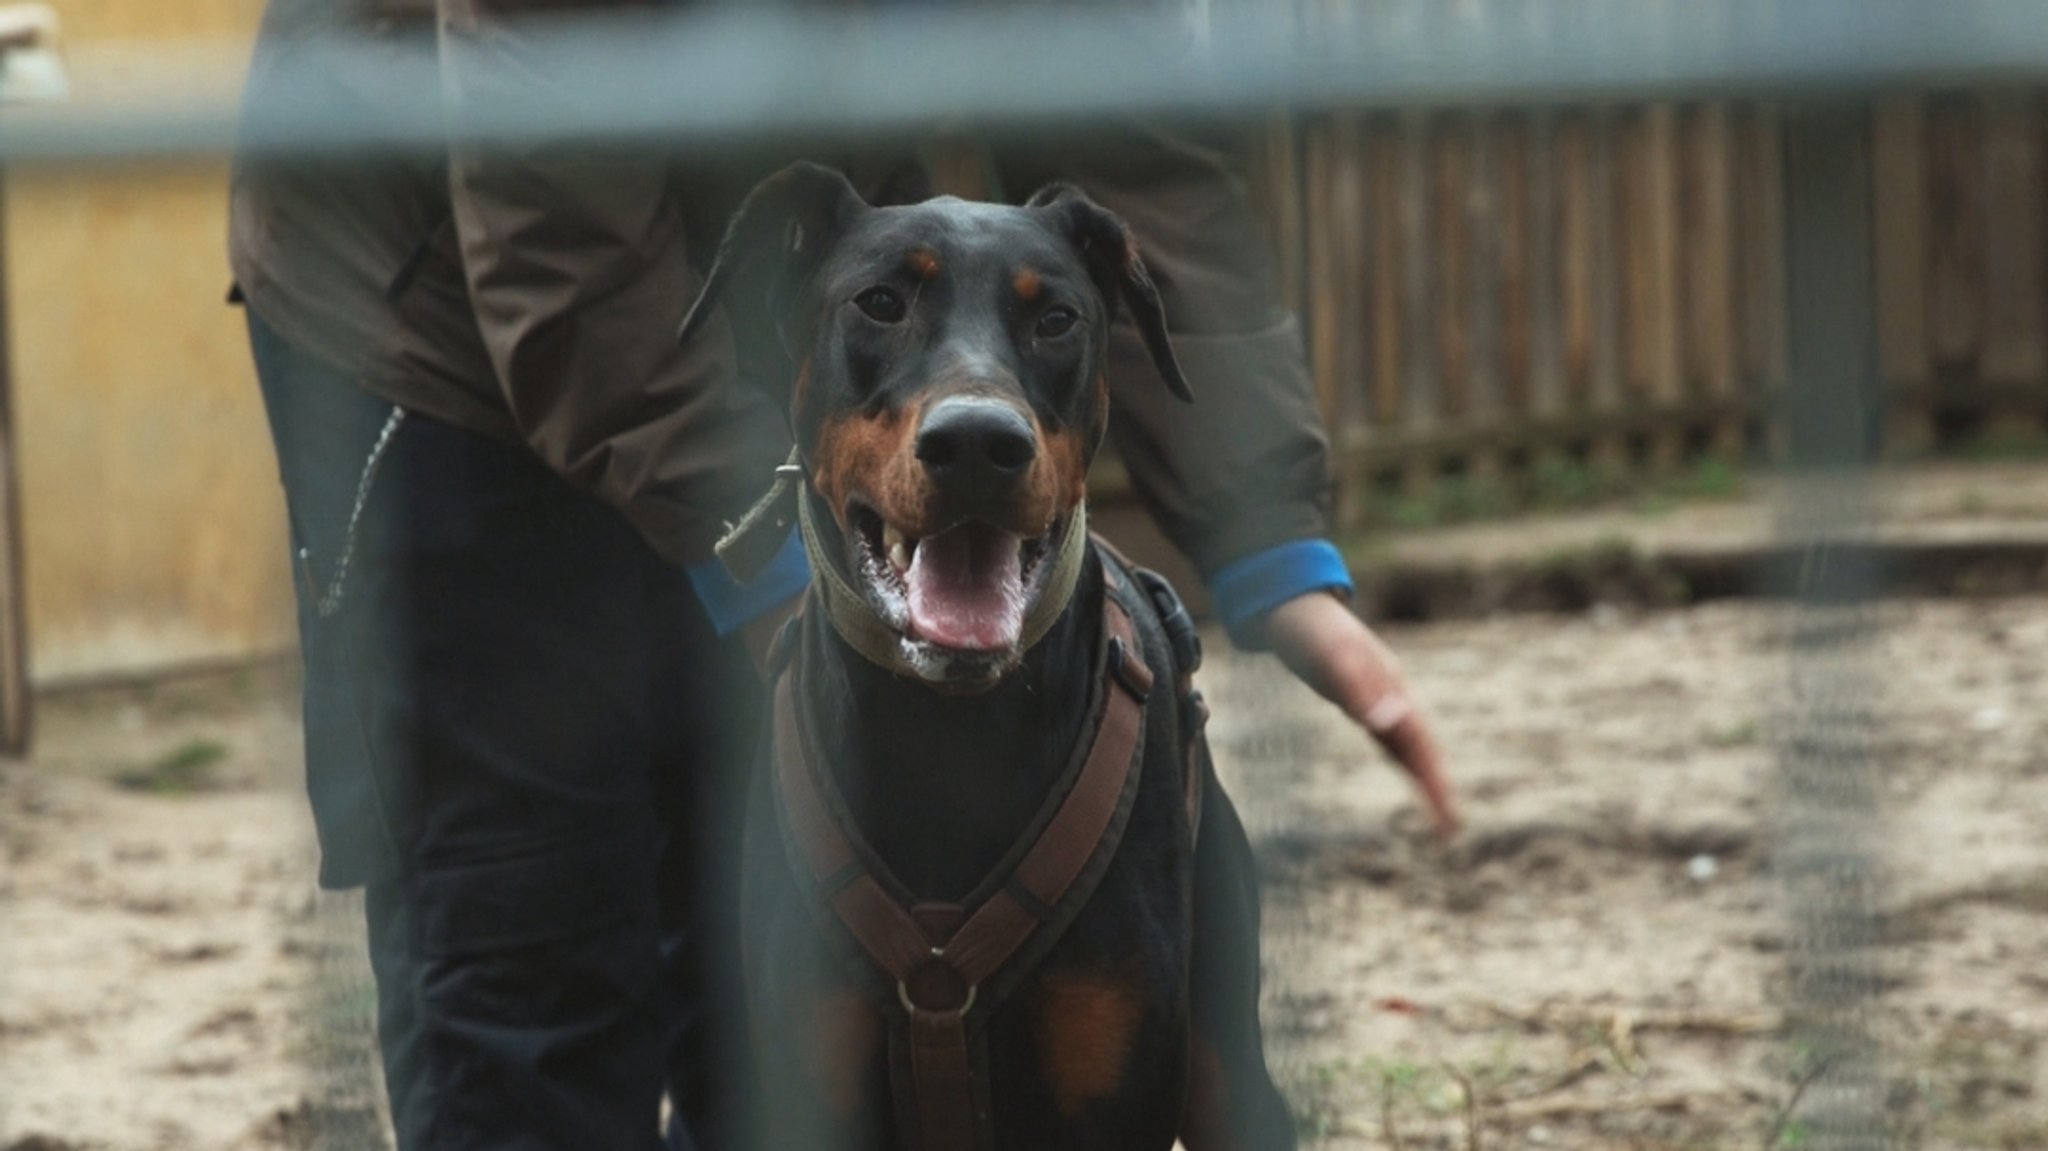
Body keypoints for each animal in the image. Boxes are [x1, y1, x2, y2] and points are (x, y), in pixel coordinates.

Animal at [684, 161, 1294, 1146]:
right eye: (880, 302)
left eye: (1057, 318)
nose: (977, 441)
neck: (949, 735)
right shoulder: (809, 1083)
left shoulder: (1112, 1079)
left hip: (1228, 1063)